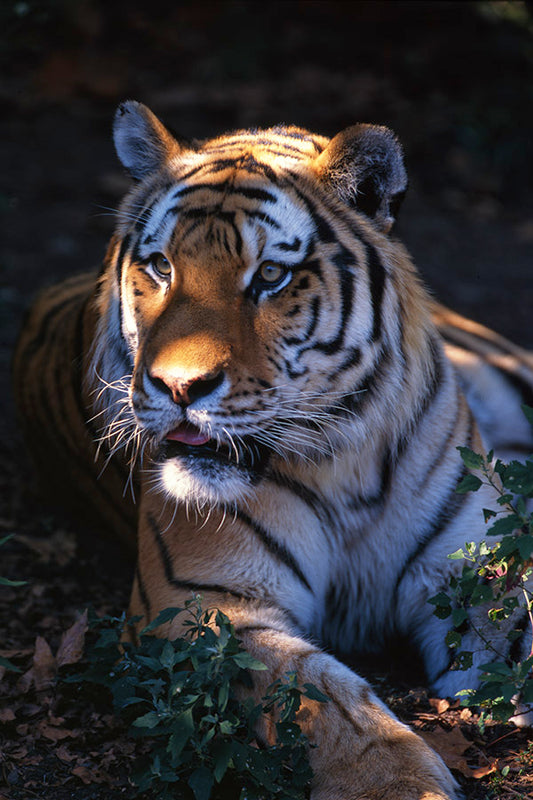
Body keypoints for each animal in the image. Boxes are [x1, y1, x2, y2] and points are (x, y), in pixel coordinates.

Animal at [12, 101, 532, 800]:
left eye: (270, 276)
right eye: (162, 267)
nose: (179, 387)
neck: (344, 461)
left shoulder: (471, 569)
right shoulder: (201, 605)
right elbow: (320, 700)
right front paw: (397, 784)